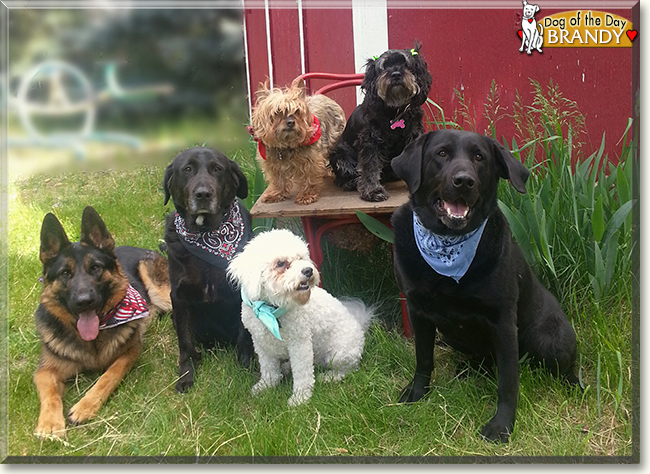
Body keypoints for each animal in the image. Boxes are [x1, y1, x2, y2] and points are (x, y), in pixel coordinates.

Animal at [34, 206, 171, 438]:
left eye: (96, 268)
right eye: (65, 273)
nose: (84, 302)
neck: (92, 341)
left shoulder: (130, 353)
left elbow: (108, 377)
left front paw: (85, 407)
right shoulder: (45, 370)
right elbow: (50, 393)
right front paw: (50, 424)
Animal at [162, 147, 253, 392]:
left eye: (217, 169)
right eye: (187, 169)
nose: (203, 194)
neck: (207, 235)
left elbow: (245, 335)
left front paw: (247, 367)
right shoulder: (179, 298)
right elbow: (185, 343)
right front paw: (186, 375)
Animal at [227, 228, 370, 406]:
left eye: (301, 258)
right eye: (280, 263)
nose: (308, 271)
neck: (270, 308)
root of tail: (360, 326)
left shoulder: (299, 345)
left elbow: (302, 373)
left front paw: (300, 398)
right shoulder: (261, 344)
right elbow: (268, 368)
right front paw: (266, 386)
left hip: (338, 354)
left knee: (348, 369)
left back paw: (329, 377)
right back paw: (286, 368)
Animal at [330, 41, 430, 202]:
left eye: (405, 64)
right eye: (384, 66)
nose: (396, 74)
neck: (395, 110)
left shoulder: (414, 135)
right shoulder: (370, 140)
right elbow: (370, 166)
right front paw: (373, 191)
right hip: (339, 156)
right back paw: (351, 183)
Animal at [390, 131, 576, 444]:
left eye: (480, 157)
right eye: (441, 153)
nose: (464, 181)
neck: (446, 245)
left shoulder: (503, 322)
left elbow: (508, 381)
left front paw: (502, 425)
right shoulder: (418, 312)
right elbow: (423, 359)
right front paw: (416, 393)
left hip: (546, 338)